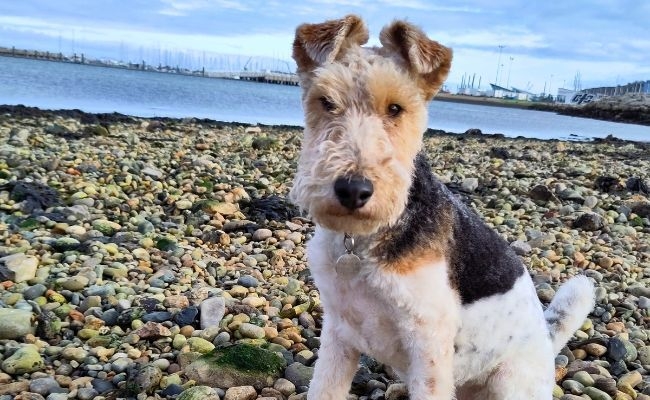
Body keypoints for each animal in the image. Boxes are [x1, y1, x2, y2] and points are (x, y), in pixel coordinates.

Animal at [288, 14, 592, 398]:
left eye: (395, 108)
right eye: (326, 101)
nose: (353, 190)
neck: (362, 241)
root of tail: (547, 345)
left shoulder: (427, 342)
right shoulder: (339, 332)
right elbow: (325, 387)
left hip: (509, 381)